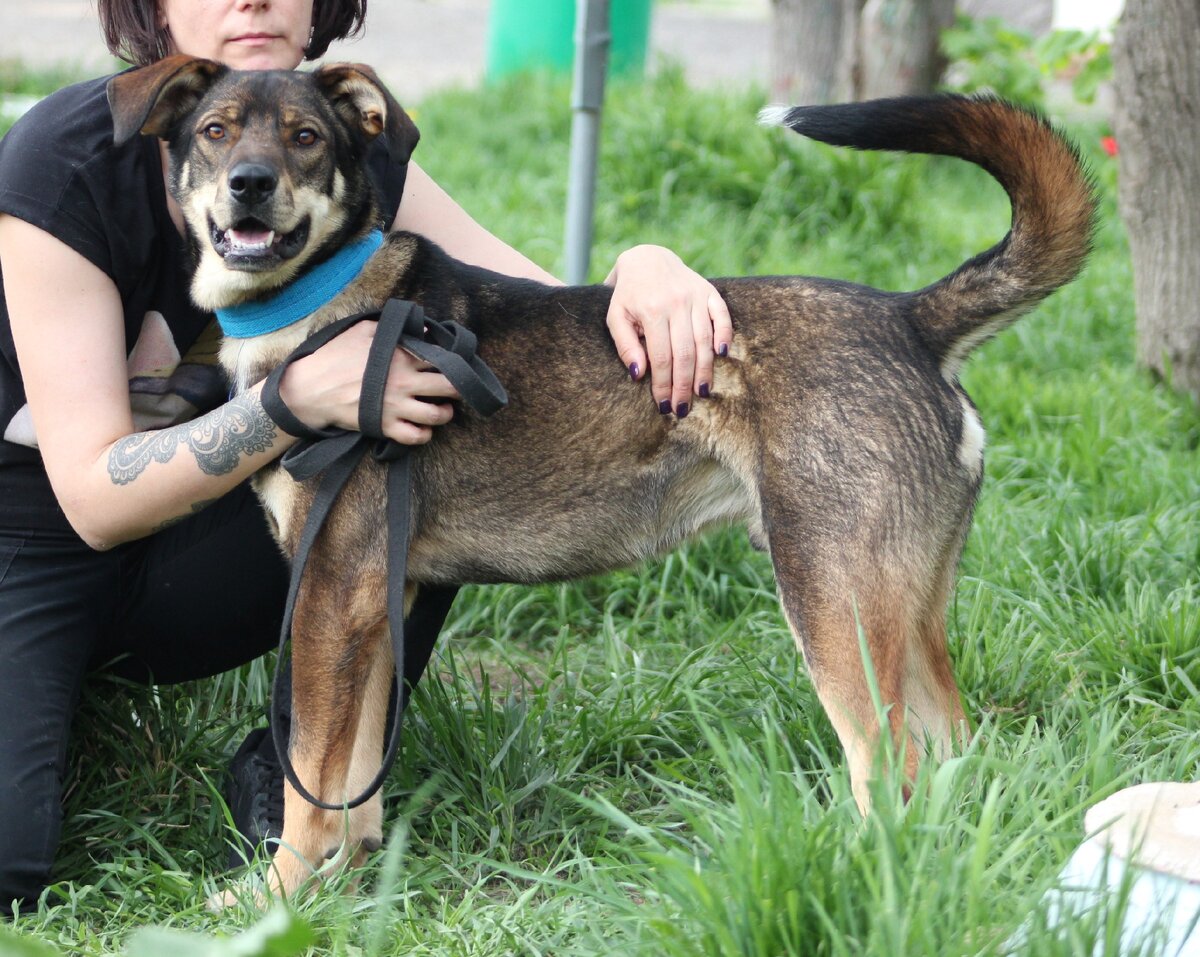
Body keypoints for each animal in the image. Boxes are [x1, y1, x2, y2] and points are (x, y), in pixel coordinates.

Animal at [108, 58, 1094, 901]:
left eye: (307, 136)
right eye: (216, 131)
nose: (250, 183)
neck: (323, 308)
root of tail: (911, 319)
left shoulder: (327, 594)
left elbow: (309, 775)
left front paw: (277, 897)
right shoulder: (371, 605)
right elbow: (352, 779)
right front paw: (343, 887)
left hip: (833, 601)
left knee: (891, 769)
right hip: (907, 604)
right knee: (956, 753)